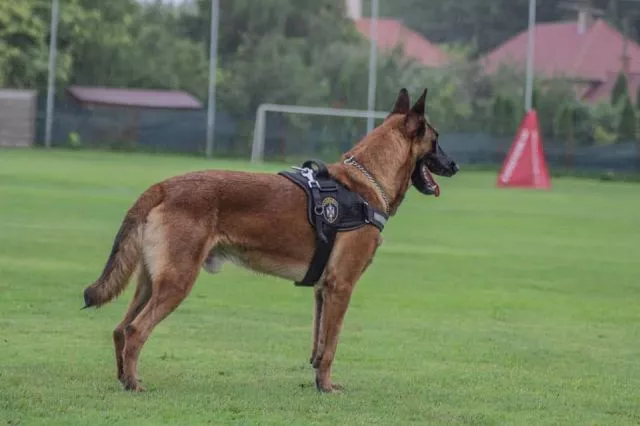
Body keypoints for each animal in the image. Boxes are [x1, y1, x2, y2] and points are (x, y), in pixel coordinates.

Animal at [81, 86, 460, 392]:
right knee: (135, 331)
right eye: (436, 139)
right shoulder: (341, 287)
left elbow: (318, 344)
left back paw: (124, 378)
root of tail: (163, 186)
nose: (455, 165)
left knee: (120, 329)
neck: (364, 183)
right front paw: (326, 387)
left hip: (150, 283)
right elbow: (331, 345)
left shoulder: (323, 291)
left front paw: (318, 382)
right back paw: (133, 384)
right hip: (177, 282)